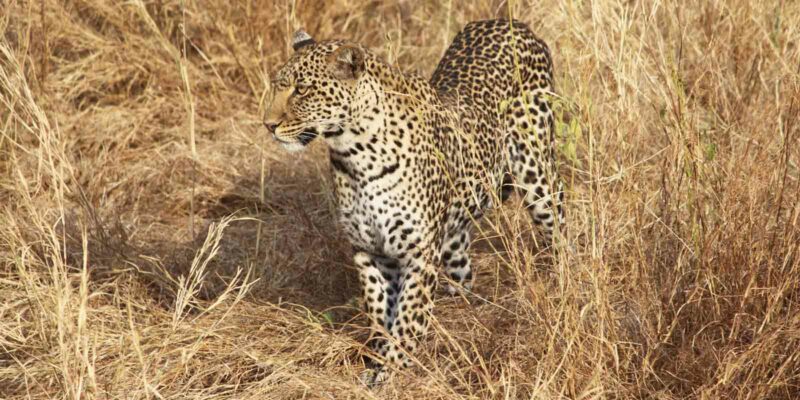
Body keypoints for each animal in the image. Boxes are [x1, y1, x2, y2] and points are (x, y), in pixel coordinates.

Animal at [262, 18, 564, 384]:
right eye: (279, 86)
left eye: (302, 90)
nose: (269, 125)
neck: (354, 152)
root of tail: (511, 23)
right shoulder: (369, 251)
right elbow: (379, 310)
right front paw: (377, 356)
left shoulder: (418, 251)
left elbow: (408, 314)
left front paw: (394, 365)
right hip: (454, 239)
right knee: (462, 269)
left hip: (539, 177)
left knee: (559, 226)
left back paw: (565, 279)